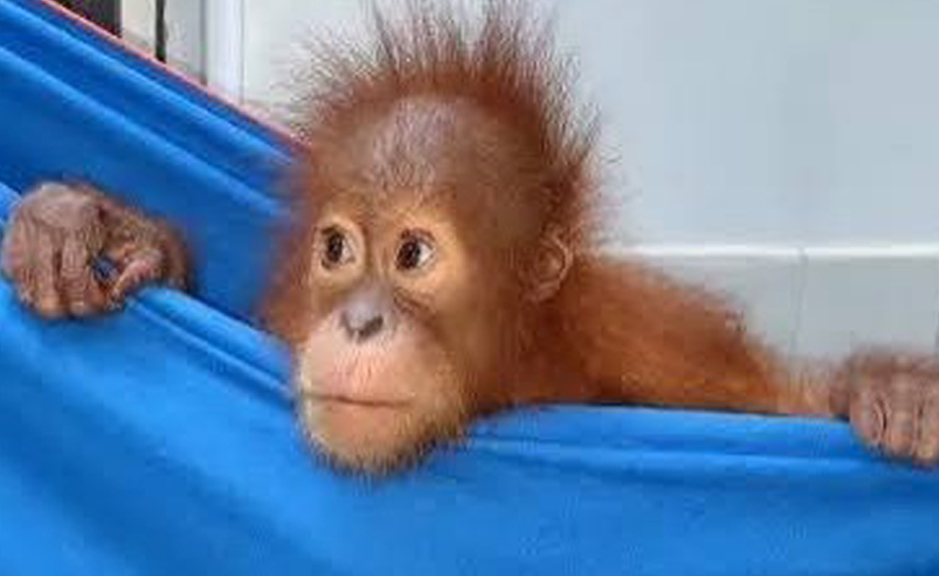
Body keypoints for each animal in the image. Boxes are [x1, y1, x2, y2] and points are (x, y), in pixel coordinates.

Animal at [2, 1, 939, 476]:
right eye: (338, 251)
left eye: (412, 255)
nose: (360, 322)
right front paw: (93, 227)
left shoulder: (655, 342)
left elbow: (767, 401)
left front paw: (889, 389)